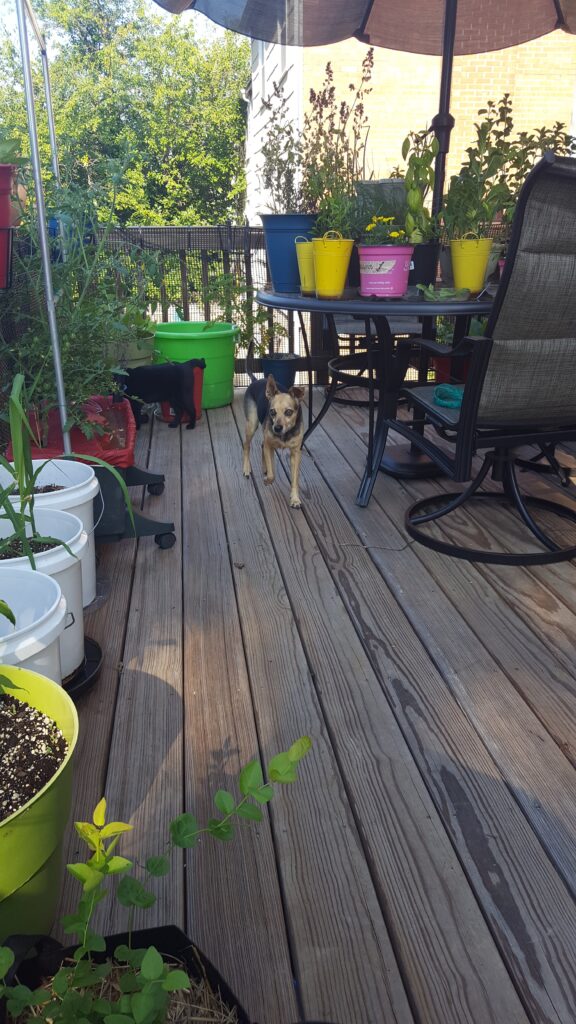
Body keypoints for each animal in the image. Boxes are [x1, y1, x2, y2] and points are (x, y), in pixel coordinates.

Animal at [241, 372, 305, 507]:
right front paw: (268, 480)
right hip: (252, 424)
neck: (284, 434)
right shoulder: (269, 446)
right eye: (272, 412)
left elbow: (294, 480)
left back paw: (264, 467)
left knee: (260, 445)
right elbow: (272, 475)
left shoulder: (295, 454)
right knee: (246, 446)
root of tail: (255, 380)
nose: (277, 427)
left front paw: (295, 498)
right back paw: (246, 469)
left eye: (288, 412)